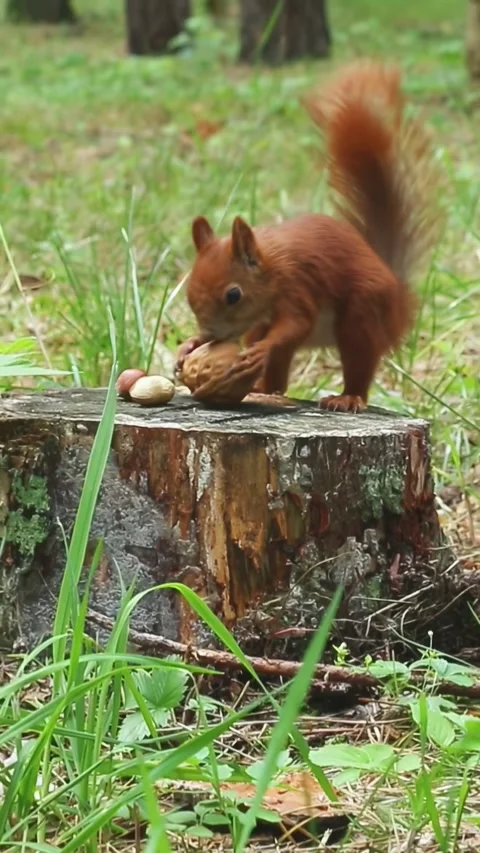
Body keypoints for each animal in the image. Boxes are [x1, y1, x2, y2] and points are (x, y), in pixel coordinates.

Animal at [176, 60, 441, 412]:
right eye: (190, 294)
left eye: (234, 294)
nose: (211, 334)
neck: (272, 268)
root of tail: (398, 293)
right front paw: (190, 346)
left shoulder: (297, 285)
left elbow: (296, 323)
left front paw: (256, 350)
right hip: (272, 329)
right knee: (280, 375)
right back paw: (261, 388)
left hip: (362, 314)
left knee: (357, 360)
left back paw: (347, 397)